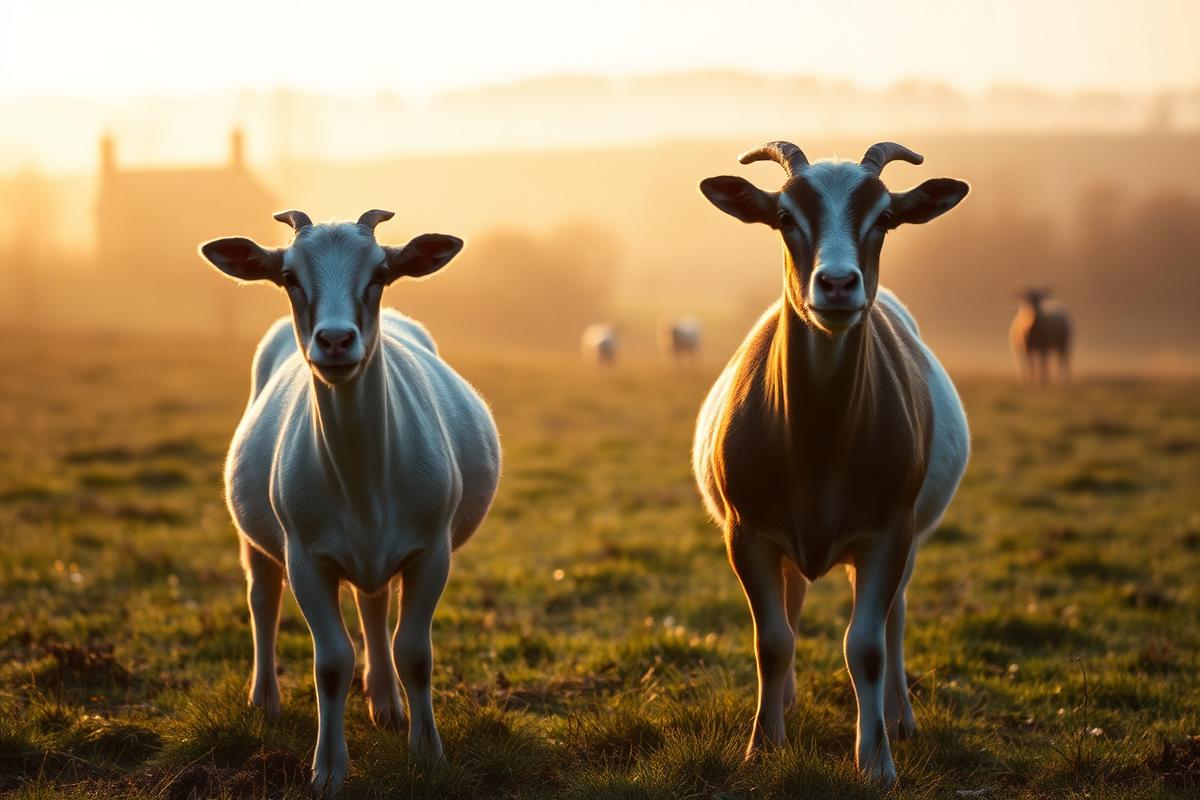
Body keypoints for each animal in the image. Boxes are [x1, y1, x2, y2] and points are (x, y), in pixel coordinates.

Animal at [199, 209, 501, 793]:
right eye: (288, 278)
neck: (363, 483)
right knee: (262, 600)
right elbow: (331, 662)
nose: (336, 340)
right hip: (256, 536)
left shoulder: (432, 550)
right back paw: (265, 701)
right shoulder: (305, 557)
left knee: (373, 605)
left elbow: (415, 653)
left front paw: (427, 753)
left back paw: (386, 703)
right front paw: (328, 770)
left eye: (381, 273)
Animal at [693, 141, 971, 785]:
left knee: (895, 619)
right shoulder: (746, 531)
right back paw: (790, 702)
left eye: (885, 218)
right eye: (784, 217)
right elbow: (772, 641)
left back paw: (898, 717)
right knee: (793, 607)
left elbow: (865, 645)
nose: (839, 284)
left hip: (911, 538)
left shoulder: (889, 531)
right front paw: (764, 745)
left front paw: (877, 761)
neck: (817, 448)